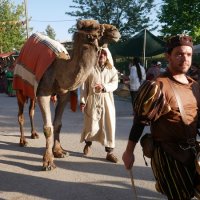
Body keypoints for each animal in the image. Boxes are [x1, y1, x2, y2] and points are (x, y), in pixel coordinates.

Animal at [13, 20, 120, 170]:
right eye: (93, 27)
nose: (115, 30)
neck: (60, 69)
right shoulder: (43, 93)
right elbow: (48, 127)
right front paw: (48, 162)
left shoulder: (64, 95)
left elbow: (57, 124)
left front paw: (59, 151)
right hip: (20, 89)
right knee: (21, 115)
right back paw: (23, 141)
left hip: (32, 92)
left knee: (31, 111)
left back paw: (33, 134)